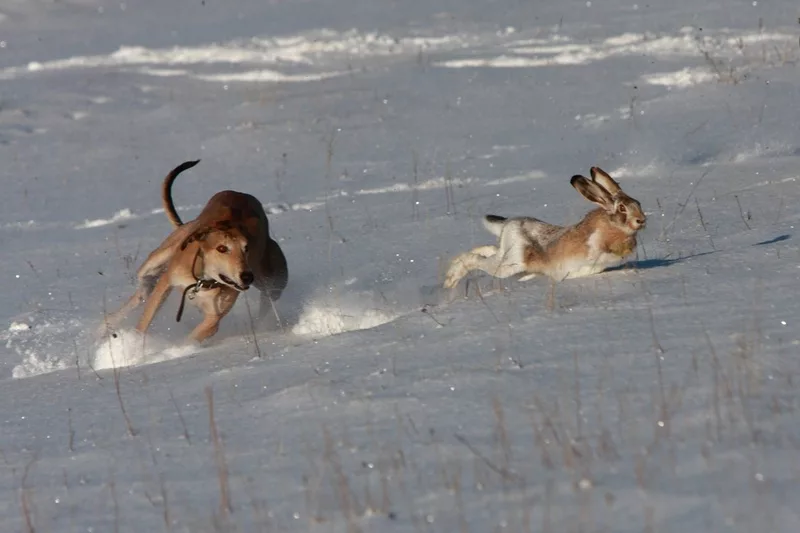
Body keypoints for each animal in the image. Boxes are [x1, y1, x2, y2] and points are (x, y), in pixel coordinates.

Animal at [104, 159, 288, 340]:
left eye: (247, 248)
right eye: (222, 248)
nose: (247, 276)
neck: (203, 280)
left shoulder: (213, 319)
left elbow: (193, 338)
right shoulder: (166, 282)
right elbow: (144, 321)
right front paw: (135, 344)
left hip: (274, 282)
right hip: (157, 258)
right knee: (142, 290)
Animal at [444, 168, 644, 288]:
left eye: (638, 203)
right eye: (622, 208)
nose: (641, 220)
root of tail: (510, 223)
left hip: (506, 255)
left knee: (488, 250)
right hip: (511, 264)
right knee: (476, 260)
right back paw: (450, 280)